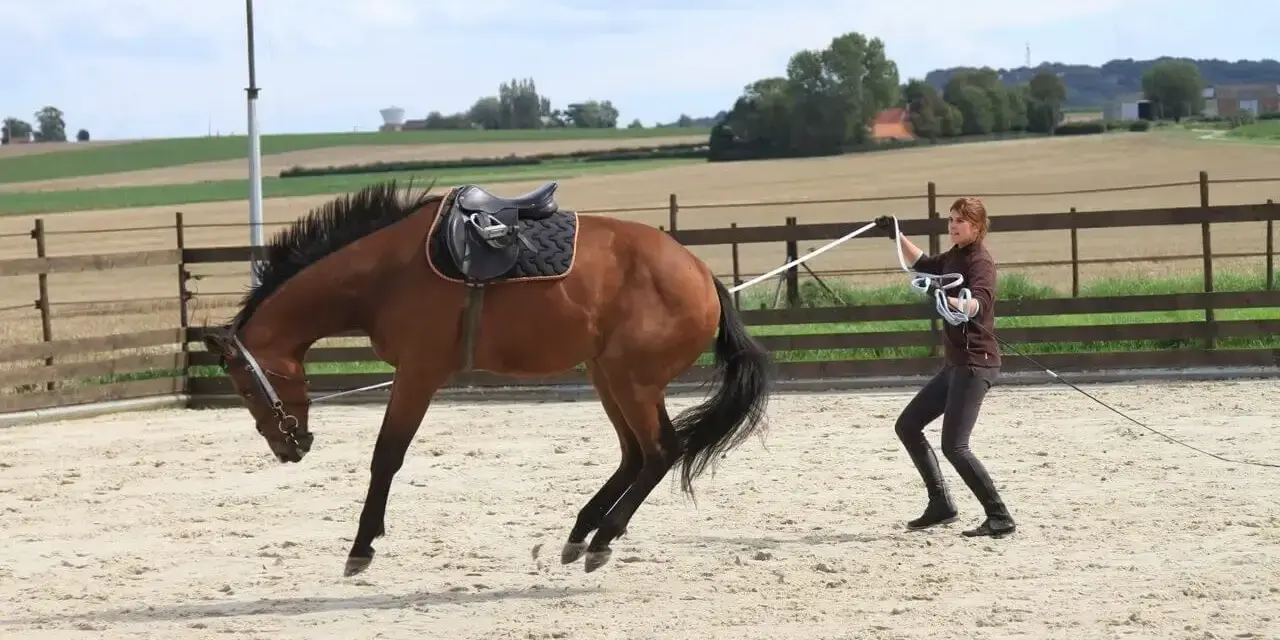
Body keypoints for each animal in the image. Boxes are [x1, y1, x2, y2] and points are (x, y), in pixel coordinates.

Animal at [199, 178, 773, 577]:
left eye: (245, 387)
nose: (288, 448)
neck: (383, 273)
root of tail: (702, 274)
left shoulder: (419, 372)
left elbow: (386, 456)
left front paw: (361, 548)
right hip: (609, 376)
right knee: (637, 453)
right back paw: (581, 533)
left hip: (631, 381)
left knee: (659, 452)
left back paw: (603, 537)